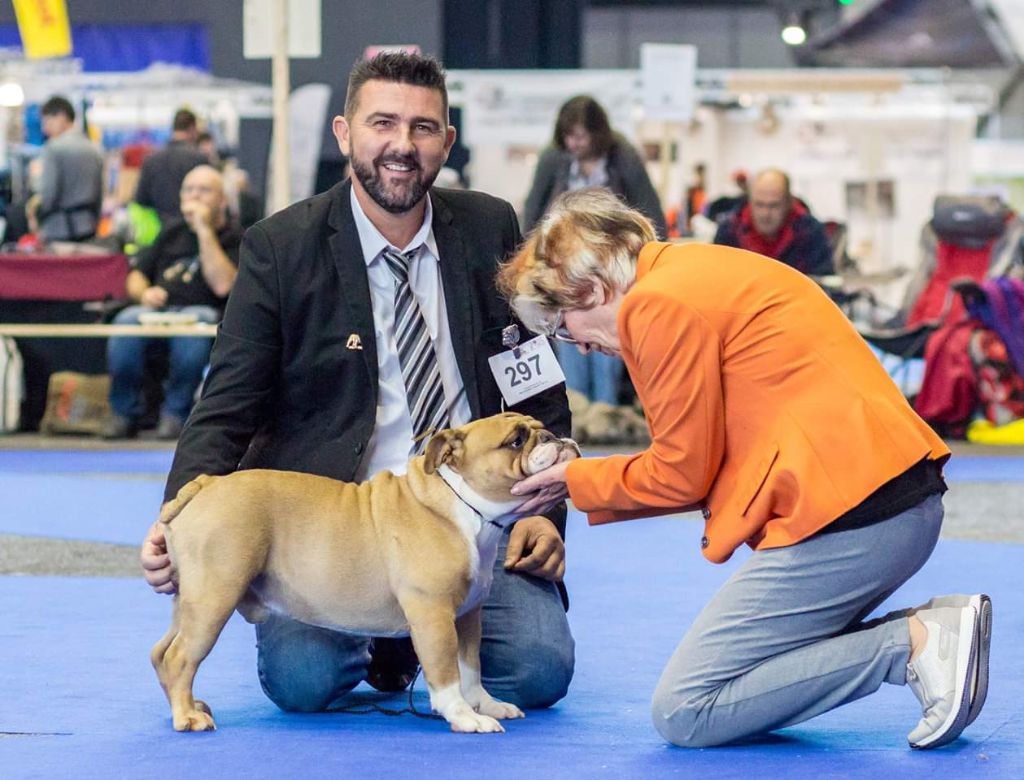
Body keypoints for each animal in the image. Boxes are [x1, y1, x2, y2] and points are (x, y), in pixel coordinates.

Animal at [153, 409, 585, 732]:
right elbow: (446, 672)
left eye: (539, 426)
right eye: (516, 440)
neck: (465, 509)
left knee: (162, 652)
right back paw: (188, 717)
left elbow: (470, 667)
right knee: (181, 657)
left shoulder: (467, 616)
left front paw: (487, 705)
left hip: (190, 601)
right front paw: (464, 717)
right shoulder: (434, 616)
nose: (553, 436)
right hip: (214, 597)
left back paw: (189, 705)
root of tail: (204, 486)